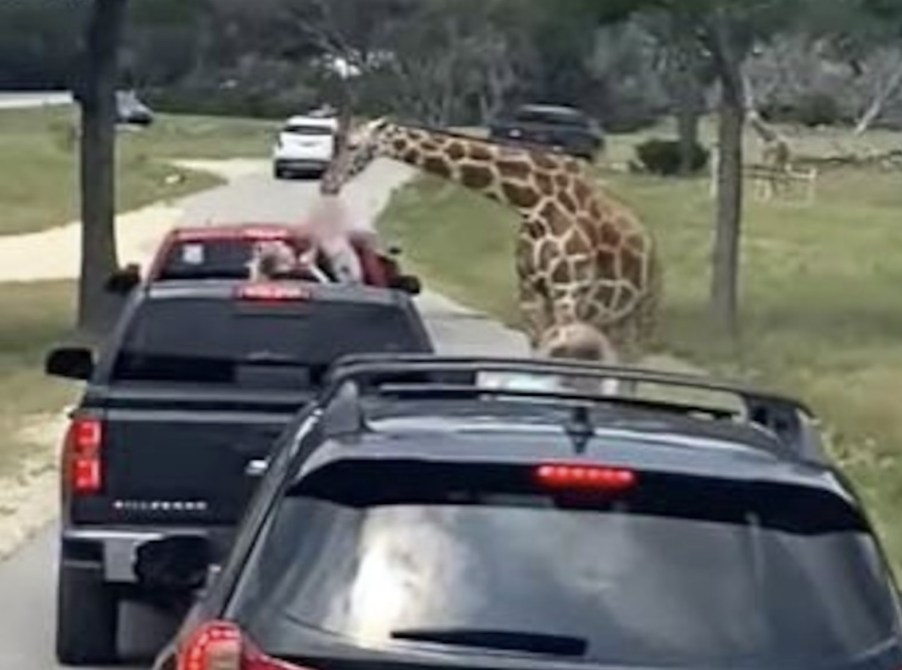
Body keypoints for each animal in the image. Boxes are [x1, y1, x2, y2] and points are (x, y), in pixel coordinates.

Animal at [321, 118, 663, 366]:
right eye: (337, 142)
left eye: (353, 145)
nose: (327, 184)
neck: (534, 202)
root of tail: (650, 245)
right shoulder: (530, 292)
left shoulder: (568, 293)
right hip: (610, 319)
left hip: (639, 317)